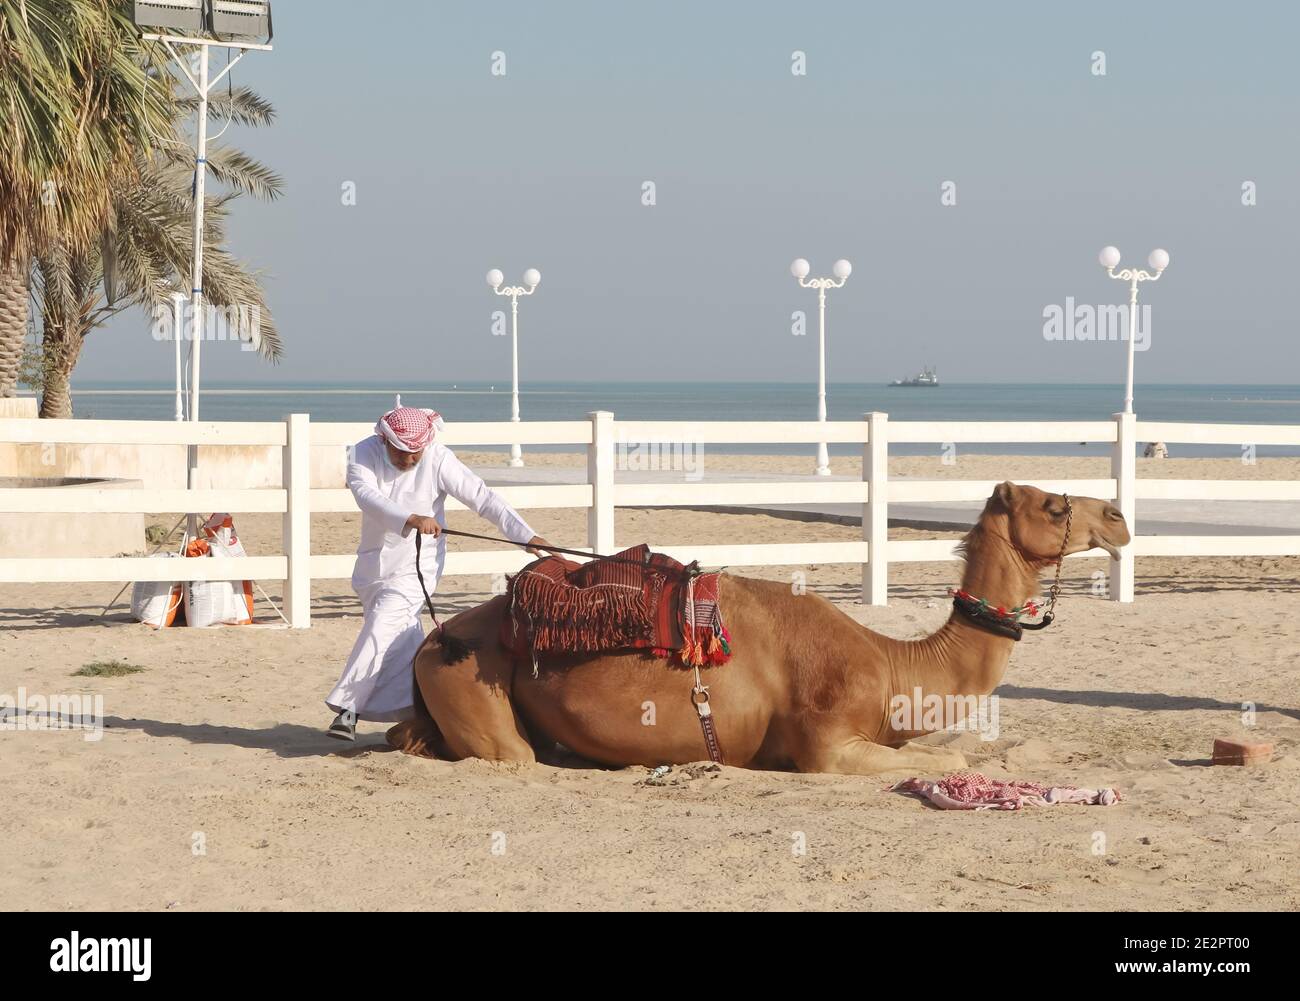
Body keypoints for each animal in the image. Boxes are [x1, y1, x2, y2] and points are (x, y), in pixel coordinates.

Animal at [382, 478, 1128, 774]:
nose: (1118, 516)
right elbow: (946, 758)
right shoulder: (827, 743)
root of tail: (431, 638)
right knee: (508, 754)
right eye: (1054, 506)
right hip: (474, 685)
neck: (893, 665)